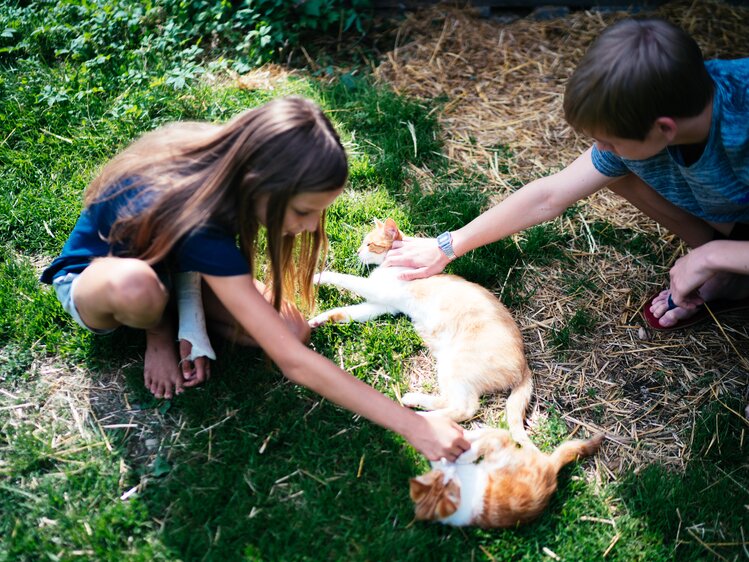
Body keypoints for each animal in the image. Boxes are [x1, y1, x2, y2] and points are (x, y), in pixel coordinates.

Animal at [310, 217, 536, 448]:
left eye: (369, 244)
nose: (357, 251)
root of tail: (524, 364)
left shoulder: (379, 290)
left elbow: (345, 278)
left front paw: (320, 276)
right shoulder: (381, 305)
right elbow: (347, 312)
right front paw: (320, 318)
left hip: (455, 364)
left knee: (465, 408)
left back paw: (422, 420)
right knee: (453, 402)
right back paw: (415, 406)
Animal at [410, 426, 600, 528]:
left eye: (449, 483)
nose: (450, 473)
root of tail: (551, 468)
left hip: (499, 454)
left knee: (498, 434)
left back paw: (466, 437)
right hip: (500, 455)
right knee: (499, 435)